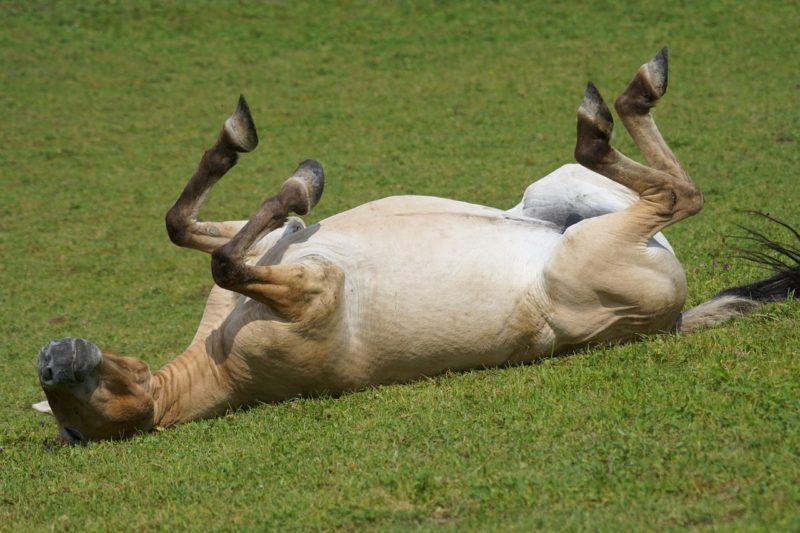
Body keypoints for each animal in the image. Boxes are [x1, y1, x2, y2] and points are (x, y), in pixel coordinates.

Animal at [34, 49, 799, 443]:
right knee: (676, 194)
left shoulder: (276, 249)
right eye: (93, 416)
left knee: (650, 187)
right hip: (592, 251)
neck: (219, 360)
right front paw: (296, 177)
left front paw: (278, 165)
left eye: (101, 386)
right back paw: (625, 98)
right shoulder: (313, 290)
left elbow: (191, 227)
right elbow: (224, 255)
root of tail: (673, 320)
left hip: (557, 192)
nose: (52, 360)